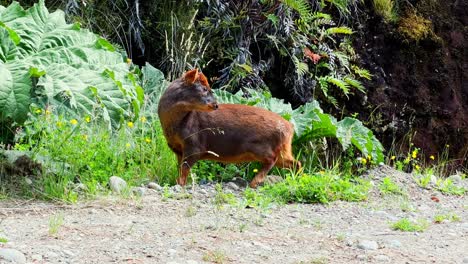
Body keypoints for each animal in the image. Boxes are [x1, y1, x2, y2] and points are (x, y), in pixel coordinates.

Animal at [159, 68, 302, 188]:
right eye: (204, 89)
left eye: (209, 88)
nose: (216, 105)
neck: (174, 126)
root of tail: (290, 128)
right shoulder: (177, 149)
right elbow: (180, 168)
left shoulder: (194, 144)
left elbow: (184, 169)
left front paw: (180, 185)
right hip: (282, 148)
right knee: (295, 162)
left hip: (259, 145)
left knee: (273, 159)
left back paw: (255, 182)